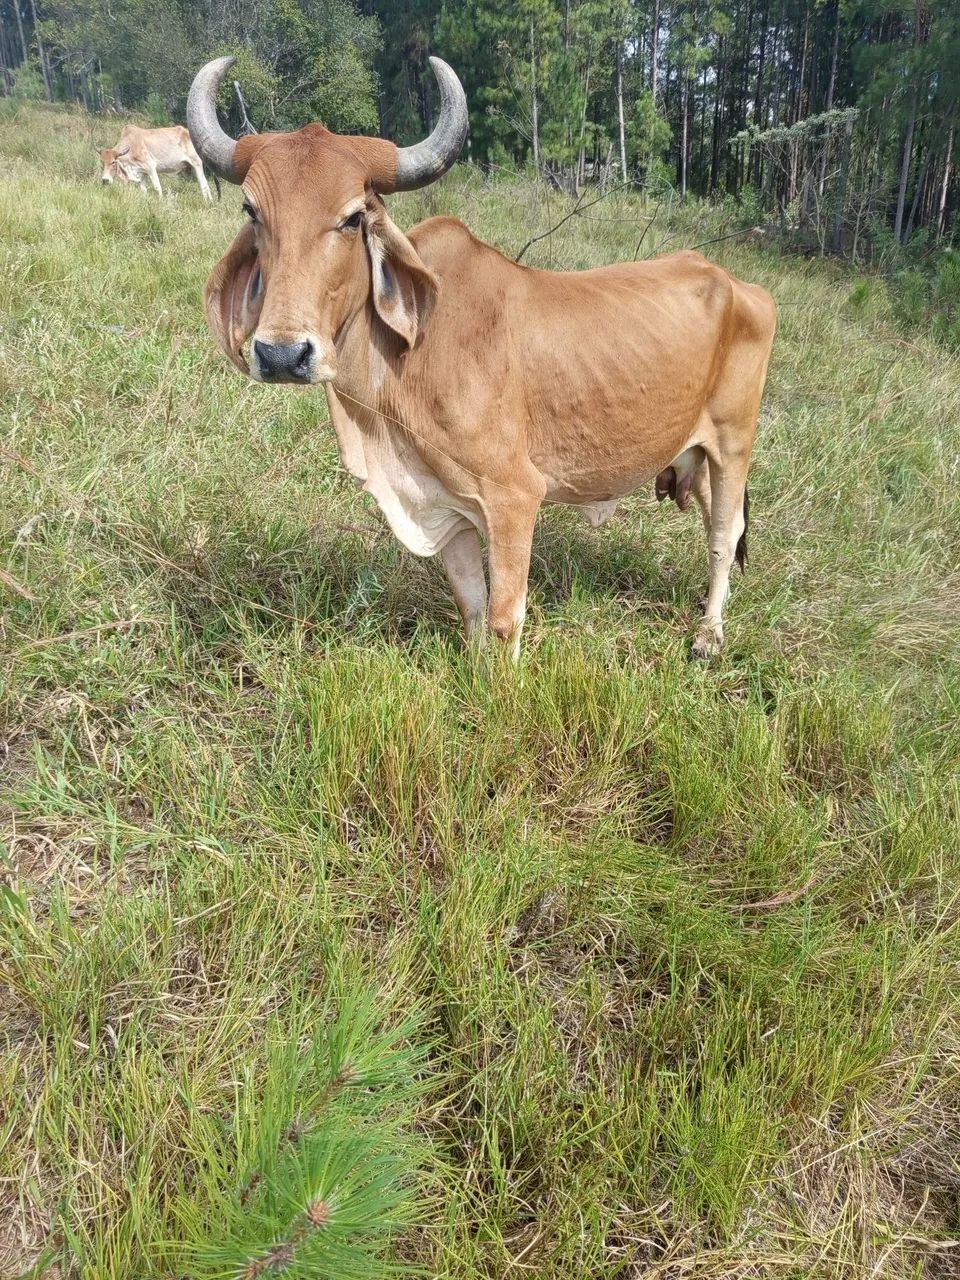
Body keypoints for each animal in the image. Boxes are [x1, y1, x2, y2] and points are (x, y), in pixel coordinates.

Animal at [186, 56, 776, 660]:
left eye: (352, 218)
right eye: (251, 210)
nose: (283, 354)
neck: (401, 370)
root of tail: (736, 282)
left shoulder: (514, 498)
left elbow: (502, 618)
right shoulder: (446, 505)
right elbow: (470, 606)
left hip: (734, 443)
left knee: (723, 537)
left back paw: (708, 635)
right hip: (694, 452)